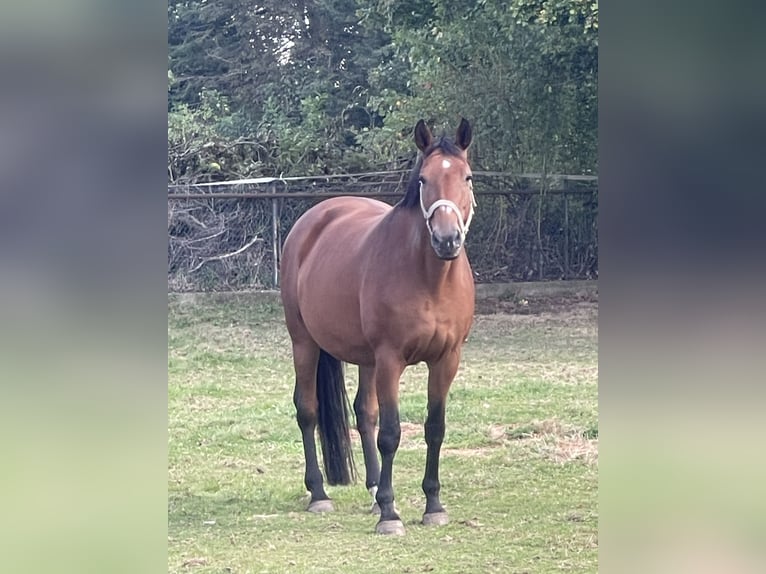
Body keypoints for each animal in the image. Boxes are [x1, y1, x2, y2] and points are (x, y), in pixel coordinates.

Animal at [280, 119, 476, 536]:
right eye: (423, 179)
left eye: (466, 177)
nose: (447, 239)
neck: (430, 278)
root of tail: (315, 218)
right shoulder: (390, 359)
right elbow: (391, 433)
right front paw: (390, 513)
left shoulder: (446, 360)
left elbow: (434, 428)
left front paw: (433, 505)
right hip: (304, 342)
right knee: (307, 409)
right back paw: (319, 493)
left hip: (365, 358)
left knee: (363, 412)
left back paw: (372, 489)